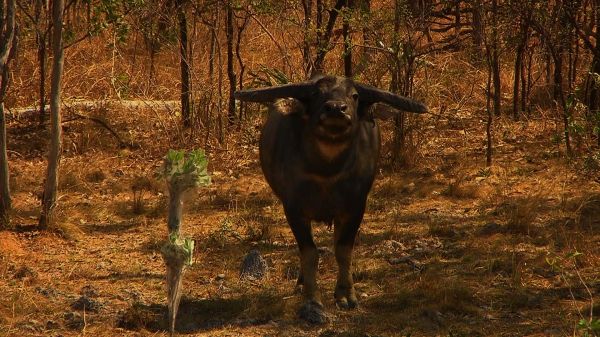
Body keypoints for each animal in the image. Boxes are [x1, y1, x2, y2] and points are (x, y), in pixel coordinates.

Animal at [234, 74, 426, 322]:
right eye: (316, 94)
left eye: (354, 95)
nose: (336, 108)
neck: (327, 169)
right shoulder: (294, 210)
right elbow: (309, 253)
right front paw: (312, 299)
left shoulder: (355, 208)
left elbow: (343, 250)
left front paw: (346, 295)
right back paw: (301, 282)